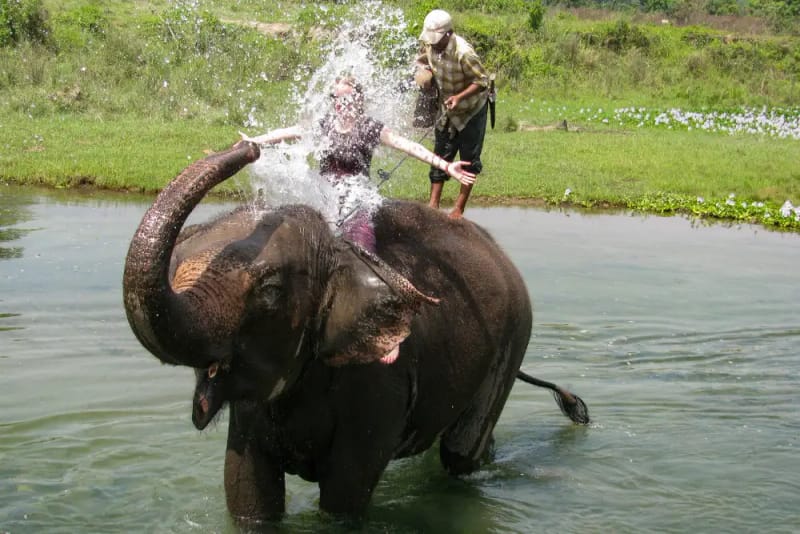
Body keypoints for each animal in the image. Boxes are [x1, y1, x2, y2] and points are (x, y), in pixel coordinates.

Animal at [123, 141, 588, 523]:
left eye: (270, 290)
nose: (248, 147)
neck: (339, 252)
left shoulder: (381, 383)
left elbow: (344, 496)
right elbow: (246, 492)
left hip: (513, 337)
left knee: (459, 454)